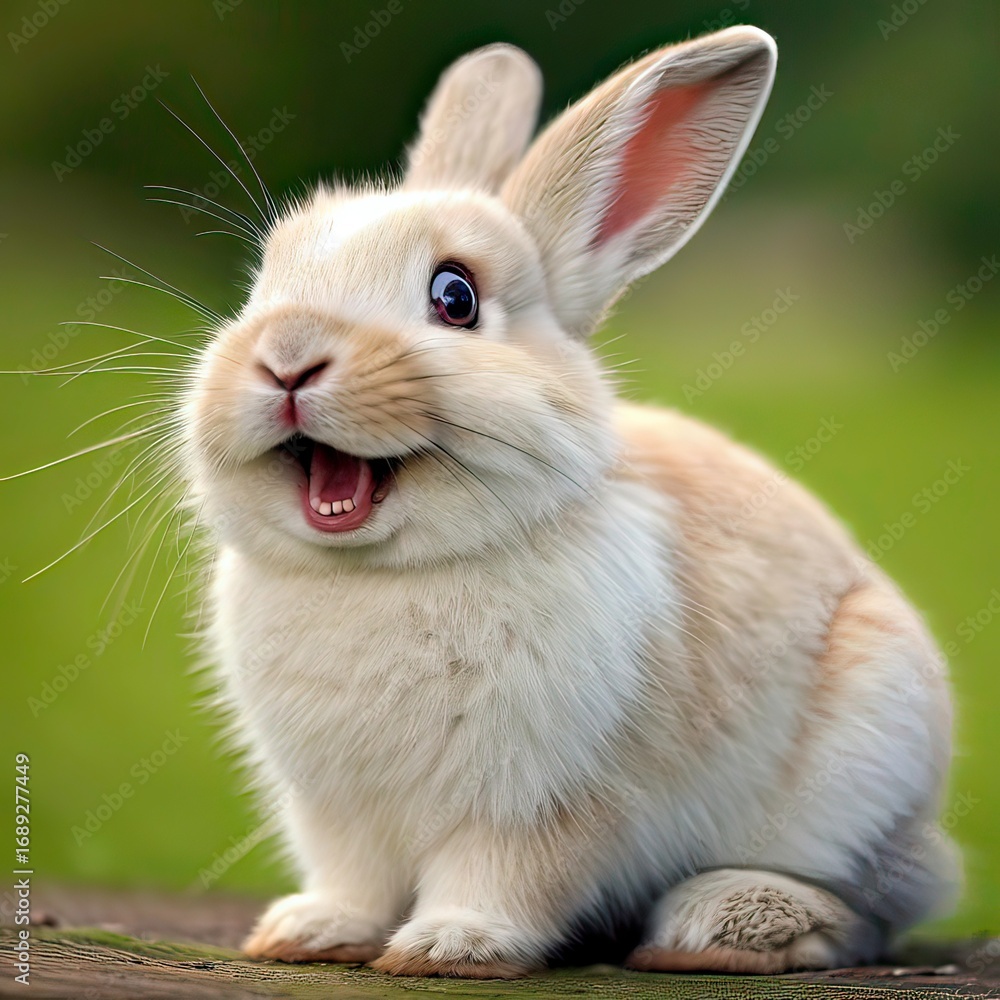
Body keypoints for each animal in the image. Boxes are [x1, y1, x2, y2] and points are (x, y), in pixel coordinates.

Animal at [182, 27, 959, 977]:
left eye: (455, 297)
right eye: (263, 284)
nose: (286, 356)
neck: (390, 572)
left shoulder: (546, 799)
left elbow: (508, 877)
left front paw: (450, 946)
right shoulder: (337, 809)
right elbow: (353, 880)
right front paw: (312, 932)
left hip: (864, 764)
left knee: (869, 912)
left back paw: (724, 925)